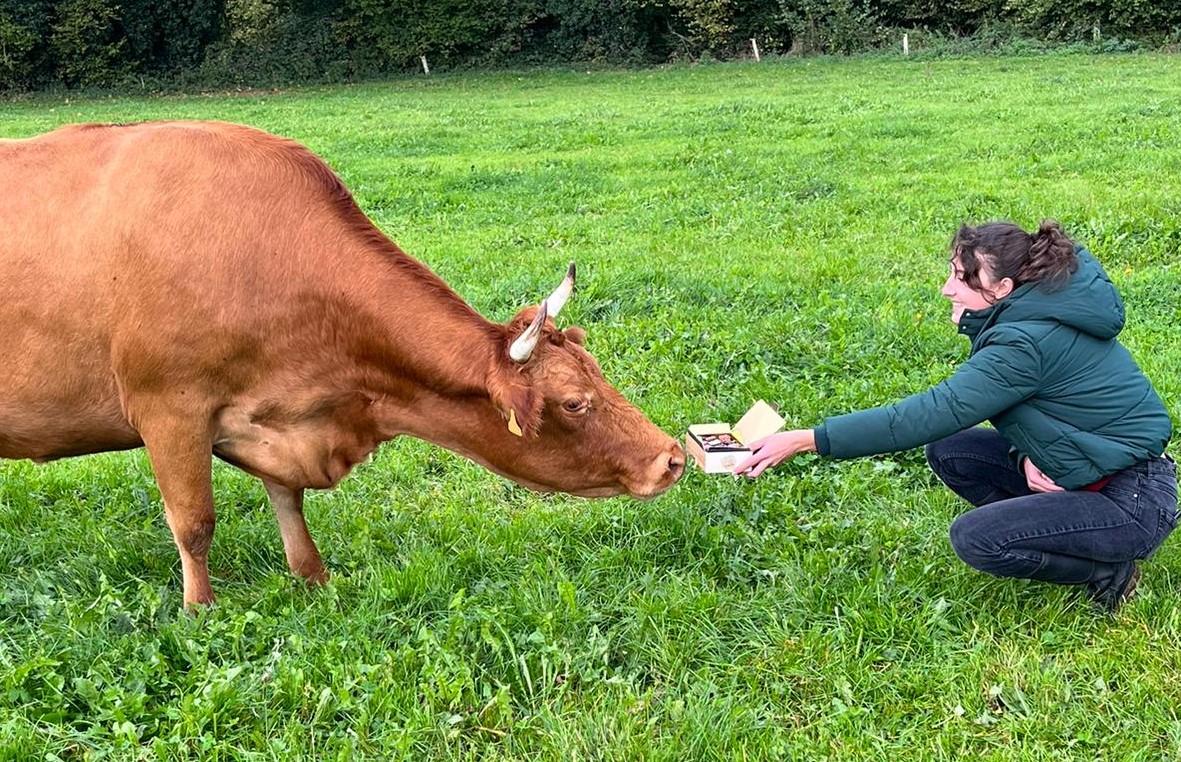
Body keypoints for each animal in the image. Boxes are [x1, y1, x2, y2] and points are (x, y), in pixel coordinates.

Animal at [0, 120, 684, 604]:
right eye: (574, 402)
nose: (674, 458)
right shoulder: (168, 409)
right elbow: (194, 523)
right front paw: (201, 611)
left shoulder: (271, 416)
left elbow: (288, 500)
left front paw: (314, 579)